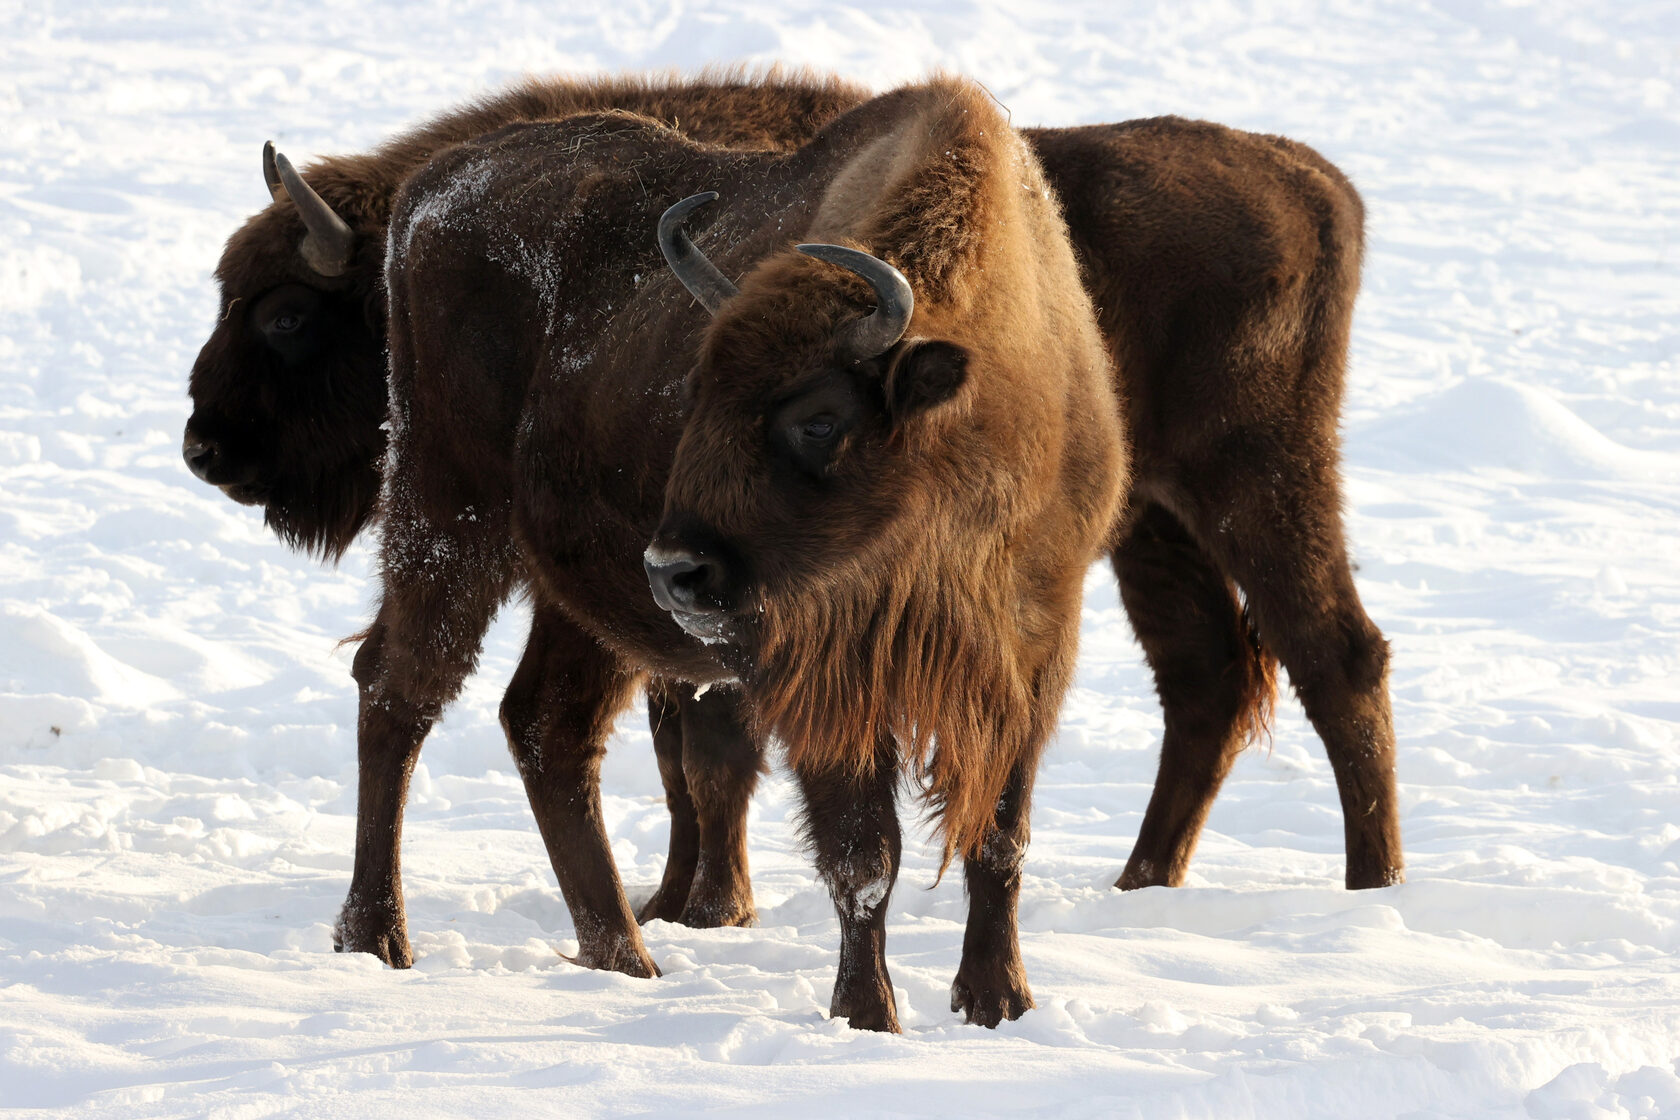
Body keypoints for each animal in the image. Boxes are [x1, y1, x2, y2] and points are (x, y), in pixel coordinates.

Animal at [371, 74, 1128, 1034]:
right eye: (693, 392)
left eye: (819, 417)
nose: (675, 570)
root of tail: (429, 189)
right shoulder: (822, 677)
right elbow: (863, 855)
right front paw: (867, 1016)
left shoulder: (1031, 658)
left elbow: (998, 837)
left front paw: (1000, 1002)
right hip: (446, 521)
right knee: (398, 694)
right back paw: (378, 940)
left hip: (575, 602)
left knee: (546, 728)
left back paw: (628, 960)